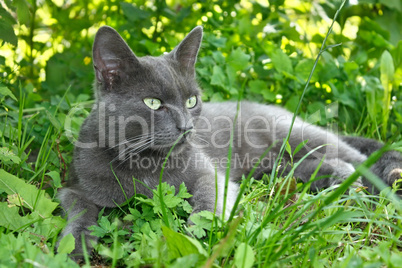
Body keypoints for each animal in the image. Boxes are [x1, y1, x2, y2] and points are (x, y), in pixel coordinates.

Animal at [59, 26, 402, 258]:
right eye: (153, 103)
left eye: (192, 100)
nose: (186, 127)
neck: (143, 165)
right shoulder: (75, 184)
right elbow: (78, 207)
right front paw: (73, 246)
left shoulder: (209, 174)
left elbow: (208, 198)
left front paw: (198, 237)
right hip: (270, 168)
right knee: (318, 166)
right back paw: (337, 179)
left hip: (296, 136)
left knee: (357, 158)